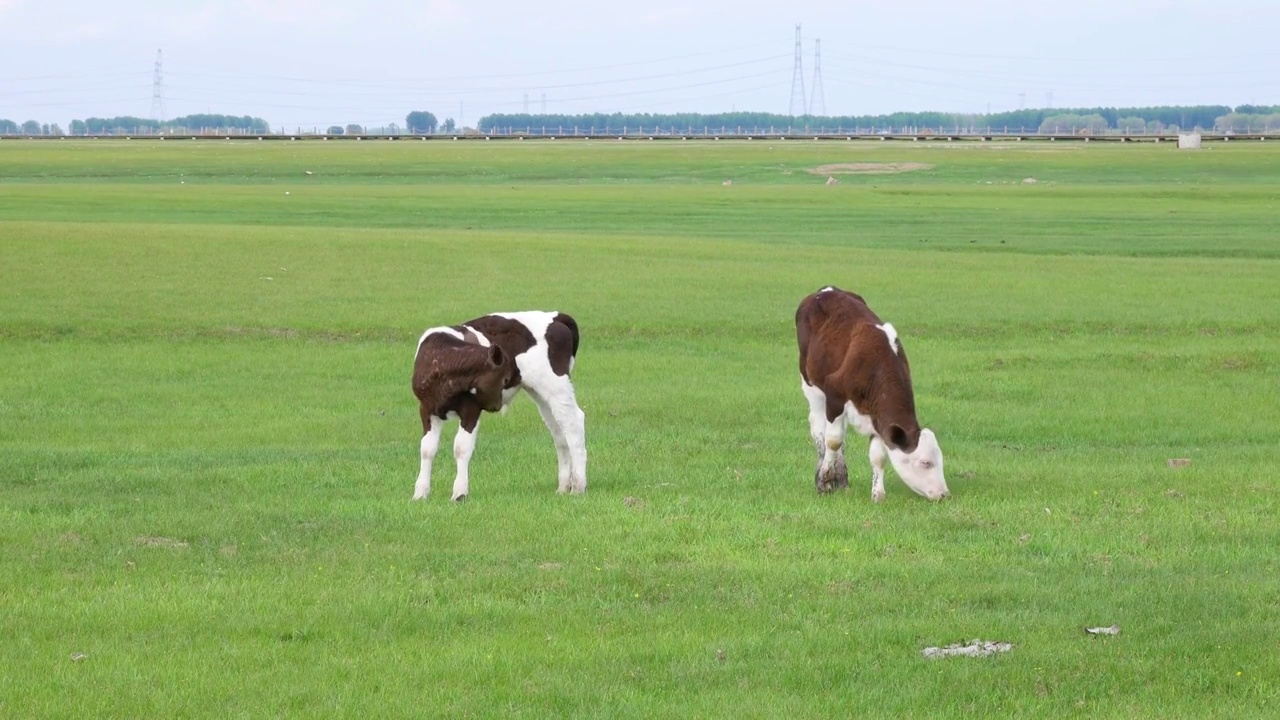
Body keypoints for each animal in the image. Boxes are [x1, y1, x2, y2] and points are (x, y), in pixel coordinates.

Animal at [412, 308, 586, 499]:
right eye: (506, 378)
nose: (496, 405)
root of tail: (555, 316)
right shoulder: (427, 409)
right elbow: (427, 449)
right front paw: (420, 493)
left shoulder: (471, 408)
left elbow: (461, 447)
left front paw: (459, 493)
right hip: (541, 394)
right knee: (558, 431)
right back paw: (563, 487)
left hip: (556, 385)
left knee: (573, 423)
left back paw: (578, 486)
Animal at [793, 285, 947, 499]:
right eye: (925, 462)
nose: (944, 493)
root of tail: (826, 289)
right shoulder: (835, 396)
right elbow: (833, 440)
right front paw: (824, 480)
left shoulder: (878, 416)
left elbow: (878, 455)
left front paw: (878, 493)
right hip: (810, 384)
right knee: (818, 428)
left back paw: (842, 479)